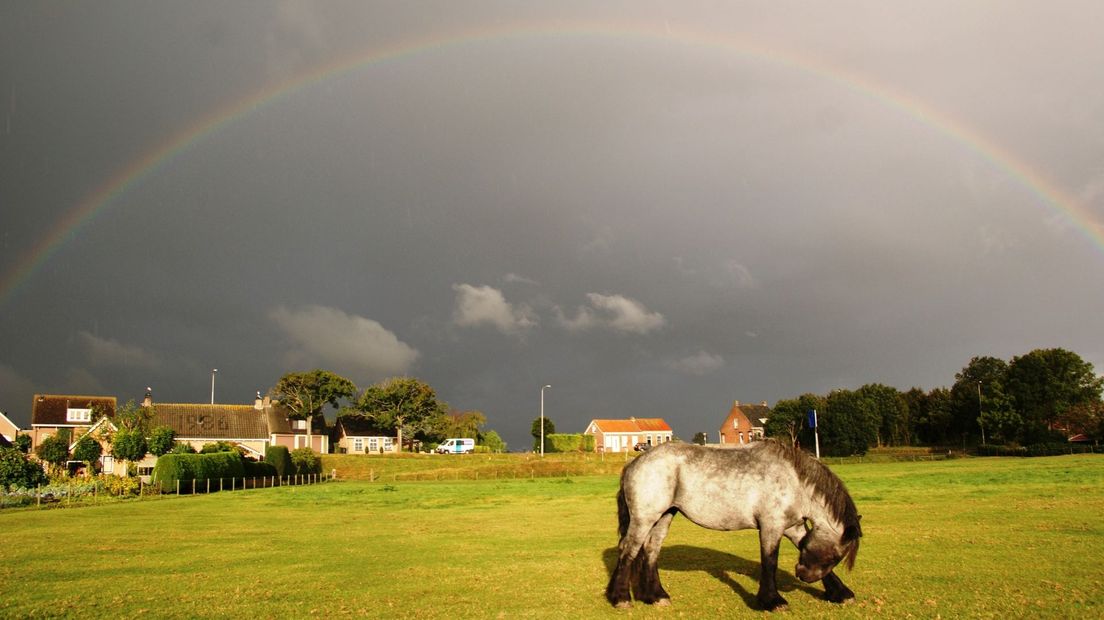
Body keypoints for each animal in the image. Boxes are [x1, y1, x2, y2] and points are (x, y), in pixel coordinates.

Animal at [609, 439, 856, 608]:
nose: (804, 575)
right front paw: (772, 601)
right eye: (835, 556)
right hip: (644, 518)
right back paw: (621, 598)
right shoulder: (771, 526)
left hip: (663, 516)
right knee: (629, 550)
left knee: (651, 551)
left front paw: (842, 593)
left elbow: (800, 546)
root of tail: (634, 462)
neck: (793, 480)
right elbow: (769, 561)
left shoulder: (792, 527)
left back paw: (656, 596)